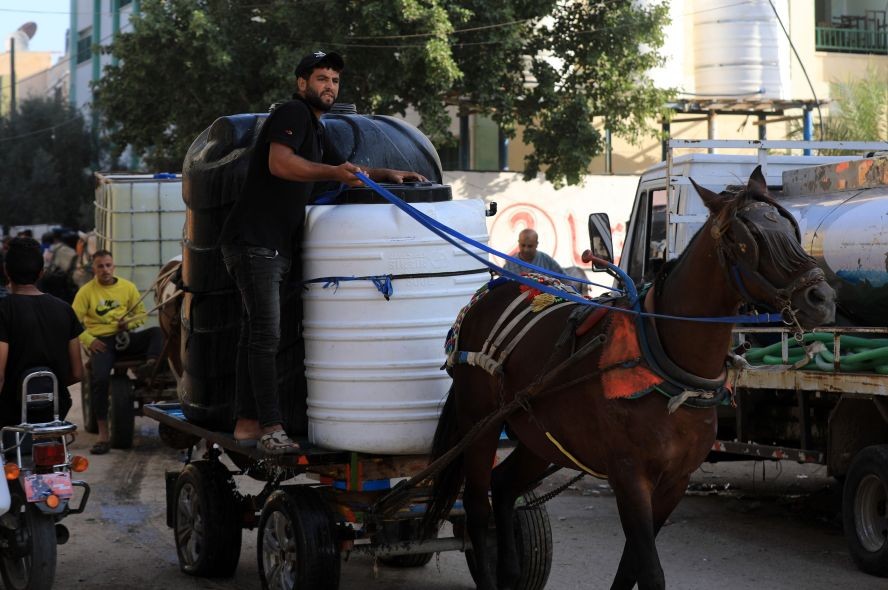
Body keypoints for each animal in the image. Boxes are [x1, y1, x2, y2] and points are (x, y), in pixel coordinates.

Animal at [424, 168, 840, 590]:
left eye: (790, 228)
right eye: (747, 238)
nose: (822, 297)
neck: (666, 363)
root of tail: (490, 293)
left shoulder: (675, 480)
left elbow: (631, 567)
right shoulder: (629, 476)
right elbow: (649, 570)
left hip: (542, 436)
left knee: (505, 485)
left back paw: (510, 569)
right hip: (480, 423)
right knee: (477, 506)